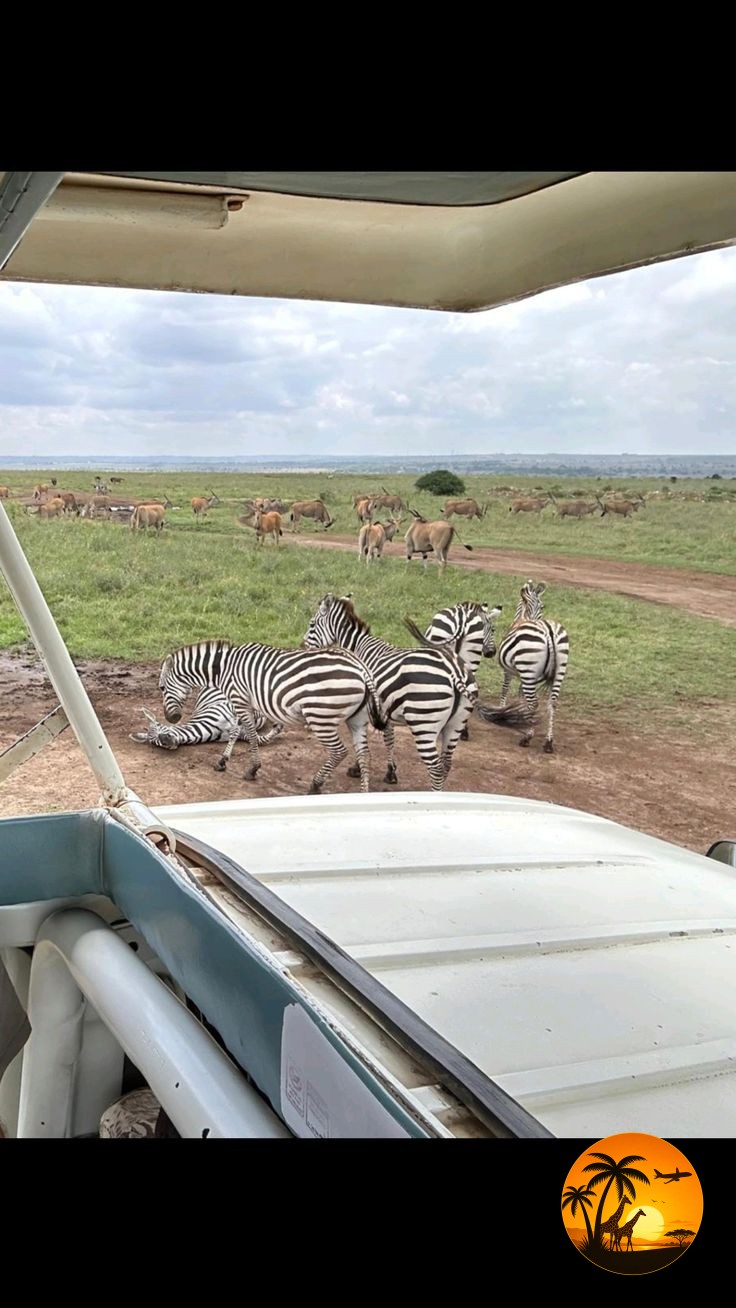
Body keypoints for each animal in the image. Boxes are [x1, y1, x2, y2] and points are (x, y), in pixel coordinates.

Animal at [157, 639, 387, 794]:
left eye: (161, 688)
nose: (171, 719)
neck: (224, 669)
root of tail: (361, 668)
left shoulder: (239, 700)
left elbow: (249, 734)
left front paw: (252, 769)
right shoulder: (243, 702)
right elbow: (235, 730)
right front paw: (223, 761)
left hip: (320, 716)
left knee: (339, 751)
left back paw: (315, 784)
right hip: (357, 719)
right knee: (364, 754)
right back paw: (363, 793)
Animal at [303, 594, 478, 791]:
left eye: (311, 625)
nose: (303, 646)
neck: (359, 647)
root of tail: (454, 671)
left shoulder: (370, 709)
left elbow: (368, 741)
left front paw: (359, 768)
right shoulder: (385, 709)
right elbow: (389, 737)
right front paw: (390, 772)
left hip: (424, 721)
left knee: (436, 768)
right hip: (456, 723)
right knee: (447, 763)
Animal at [476, 580, 569, 752]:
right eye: (543, 606)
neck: (525, 617)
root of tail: (548, 631)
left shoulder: (509, 671)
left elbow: (505, 689)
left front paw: (504, 710)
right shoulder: (525, 676)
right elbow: (521, 696)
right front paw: (519, 715)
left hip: (528, 669)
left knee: (534, 703)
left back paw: (527, 737)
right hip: (558, 670)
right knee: (552, 703)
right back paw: (548, 742)